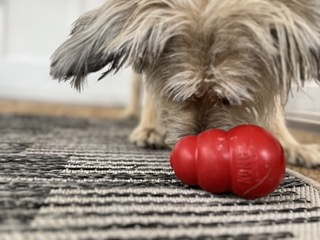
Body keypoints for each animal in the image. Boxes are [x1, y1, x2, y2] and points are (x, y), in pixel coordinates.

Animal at [50, 0, 320, 167]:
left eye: (229, 99)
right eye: (178, 95)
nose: (198, 143)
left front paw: (291, 144)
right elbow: (151, 85)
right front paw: (151, 127)